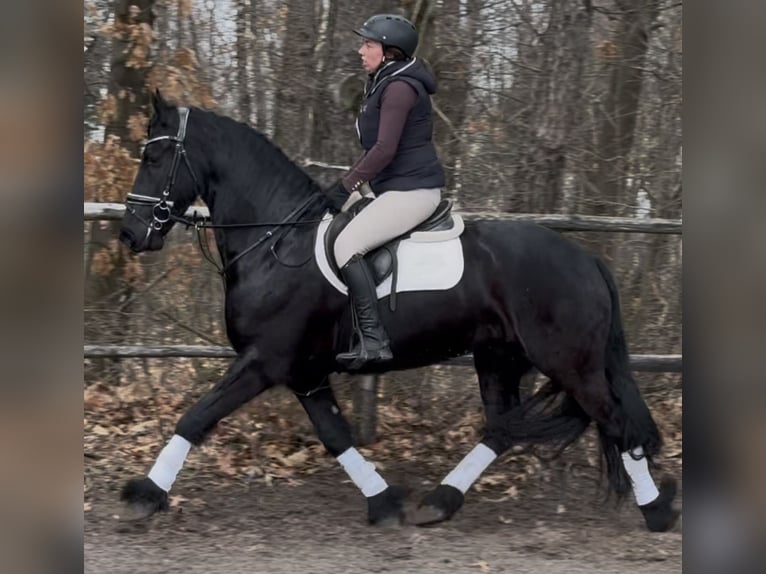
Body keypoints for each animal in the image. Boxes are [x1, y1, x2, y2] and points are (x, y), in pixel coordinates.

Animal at [115, 91, 680, 536]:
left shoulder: (263, 361)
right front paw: (383, 502)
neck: (276, 240)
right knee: (502, 429)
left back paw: (657, 511)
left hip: (569, 362)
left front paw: (144, 495)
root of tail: (586, 258)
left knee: (616, 423)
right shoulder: (305, 373)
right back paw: (438, 503)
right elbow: (336, 436)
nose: (130, 233)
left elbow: (196, 417)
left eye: (155, 156)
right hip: (498, 357)